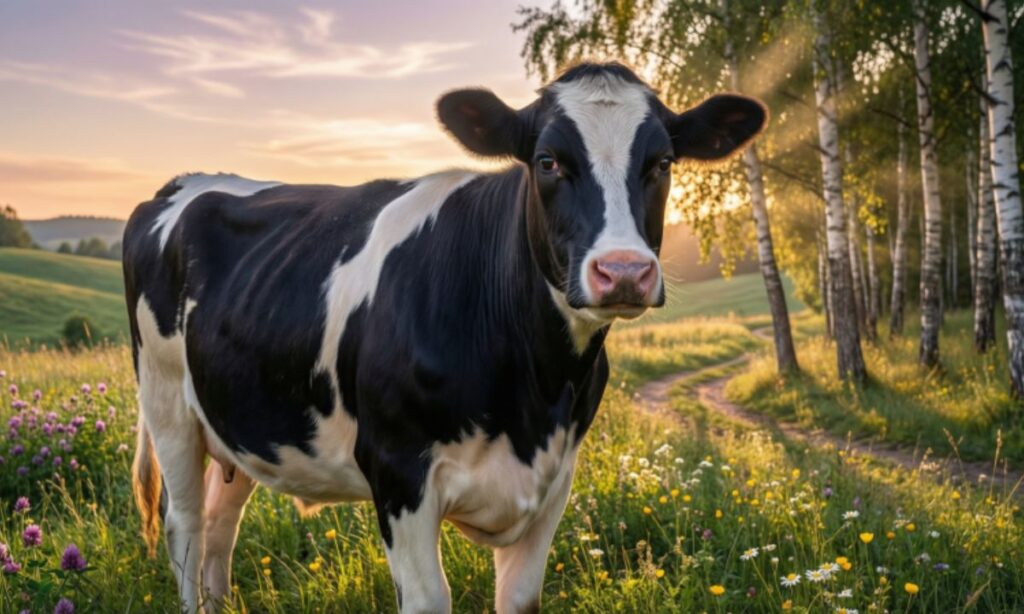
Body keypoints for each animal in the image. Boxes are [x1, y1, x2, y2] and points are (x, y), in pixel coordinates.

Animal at [123, 62, 765, 613]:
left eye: (663, 162)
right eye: (548, 160)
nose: (625, 271)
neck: (534, 394)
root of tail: (184, 182)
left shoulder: (557, 474)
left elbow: (520, 597)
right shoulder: (396, 468)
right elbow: (430, 599)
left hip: (241, 423)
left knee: (220, 526)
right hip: (167, 402)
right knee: (186, 525)